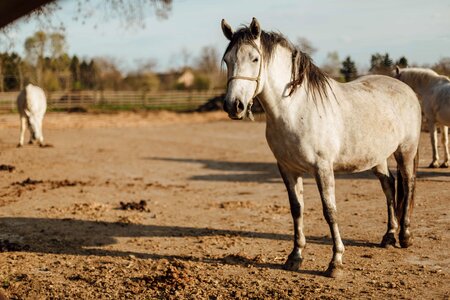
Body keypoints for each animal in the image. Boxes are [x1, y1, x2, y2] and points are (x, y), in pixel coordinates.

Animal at [221, 17, 422, 278]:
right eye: (227, 60)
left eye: (254, 59)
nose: (233, 105)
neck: (296, 109)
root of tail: (405, 88)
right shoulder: (287, 169)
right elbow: (296, 209)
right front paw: (295, 257)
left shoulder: (323, 168)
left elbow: (329, 211)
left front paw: (335, 262)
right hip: (378, 157)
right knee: (389, 186)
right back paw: (389, 236)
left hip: (405, 151)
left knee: (408, 185)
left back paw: (405, 236)